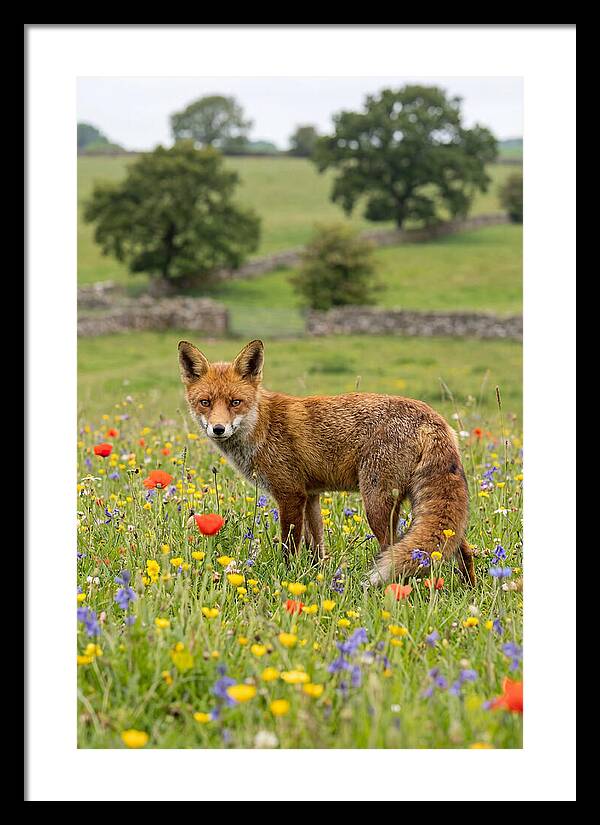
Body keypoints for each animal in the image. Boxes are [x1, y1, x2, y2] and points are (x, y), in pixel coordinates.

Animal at [178, 338, 475, 587]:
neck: (262, 426)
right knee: (461, 547)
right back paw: (468, 588)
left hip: (377, 503)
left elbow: (289, 546)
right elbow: (316, 547)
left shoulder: (290, 495)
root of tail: (432, 417)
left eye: (235, 402)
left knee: (392, 549)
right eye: (205, 402)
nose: (218, 429)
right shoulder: (311, 496)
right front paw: (316, 577)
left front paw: (287, 577)